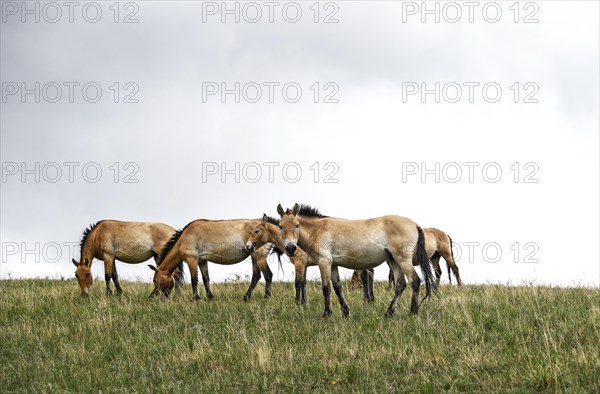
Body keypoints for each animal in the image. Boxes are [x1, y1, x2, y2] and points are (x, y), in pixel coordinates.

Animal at [147, 217, 284, 300]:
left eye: (154, 280)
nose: (152, 297)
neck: (185, 237)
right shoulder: (202, 261)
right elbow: (206, 279)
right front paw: (210, 297)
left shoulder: (192, 260)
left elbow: (194, 279)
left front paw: (195, 298)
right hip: (254, 257)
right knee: (256, 276)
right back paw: (246, 297)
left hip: (259, 256)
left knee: (268, 275)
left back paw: (266, 297)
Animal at [248, 205, 436, 318]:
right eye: (280, 226)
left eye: (297, 225)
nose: (291, 248)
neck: (317, 230)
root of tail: (415, 224)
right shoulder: (333, 265)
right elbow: (337, 287)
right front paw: (345, 312)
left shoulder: (324, 262)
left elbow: (325, 288)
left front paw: (326, 314)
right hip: (394, 260)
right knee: (400, 284)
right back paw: (388, 313)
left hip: (402, 260)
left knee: (415, 281)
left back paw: (413, 312)